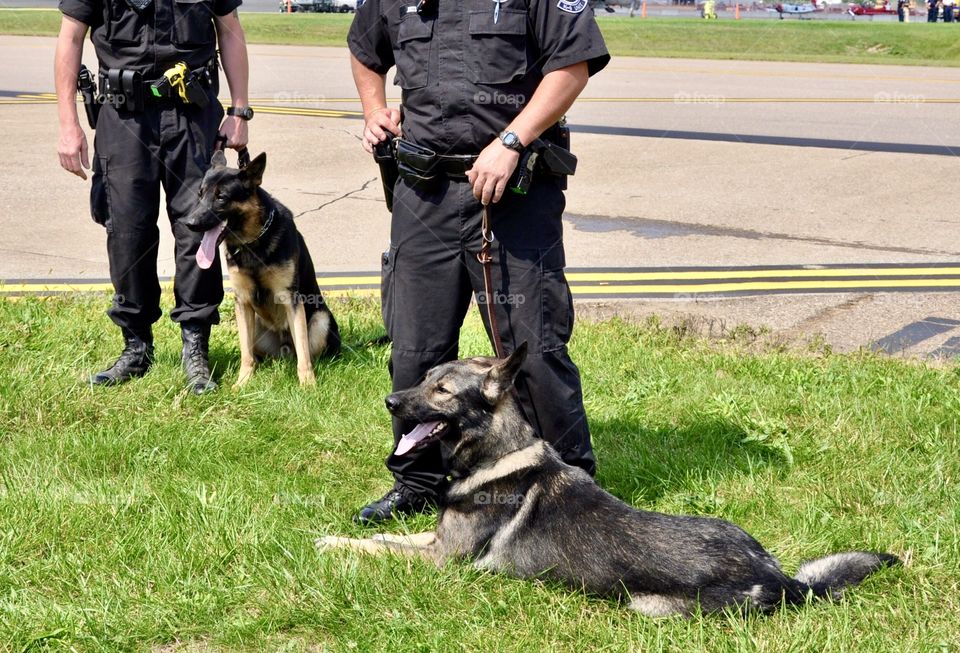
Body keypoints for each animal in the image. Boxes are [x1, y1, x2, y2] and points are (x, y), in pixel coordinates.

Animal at [186, 152, 340, 388]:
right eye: (200, 194)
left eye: (221, 197)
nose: (189, 223)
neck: (252, 242)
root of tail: (284, 349)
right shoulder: (242, 301)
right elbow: (245, 353)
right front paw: (243, 382)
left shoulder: (291, 299)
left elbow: (303, 350)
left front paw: (308, 384)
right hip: (256, 325)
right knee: (255, 351)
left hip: (320, 320)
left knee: (308, 351)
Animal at [320, 346, 900, 616]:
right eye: (423, 379)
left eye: (440, 390)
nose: (390, 401)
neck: (497, 455)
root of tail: (782, 580)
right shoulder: (437, 540)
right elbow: (389, 536)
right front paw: (345, 533)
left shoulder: (443, 561)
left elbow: (380, 548)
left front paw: (330, 542)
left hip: (647, 606)